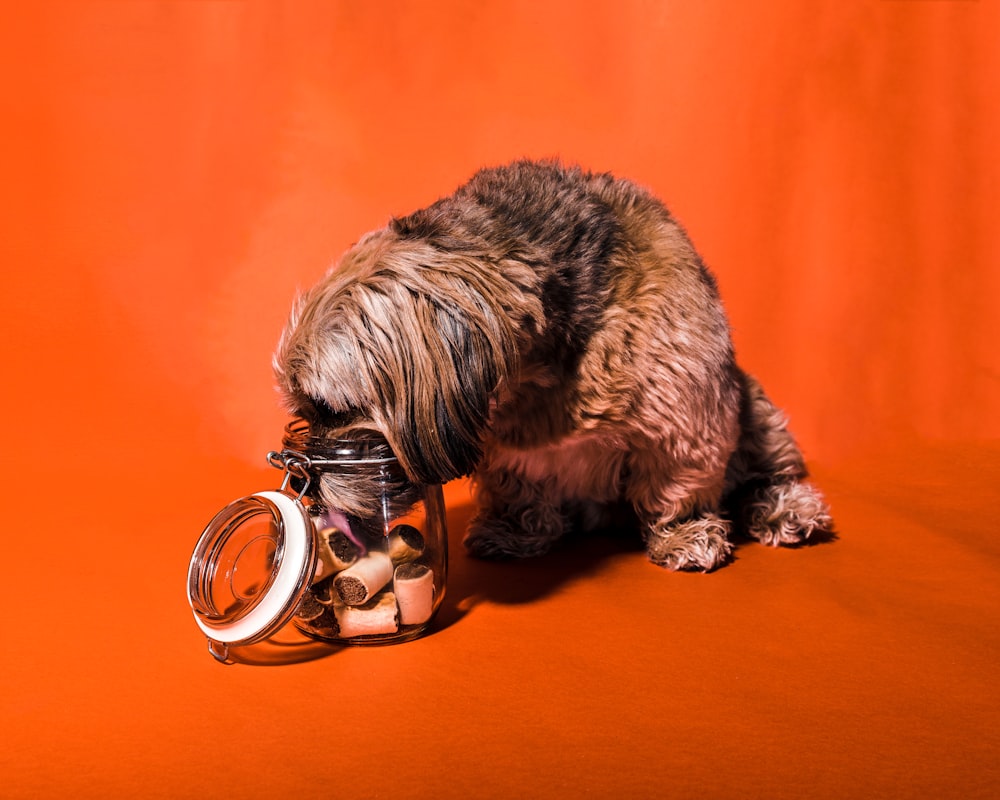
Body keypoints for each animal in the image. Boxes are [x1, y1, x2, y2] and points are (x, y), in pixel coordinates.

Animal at [274, 159, 836, 568]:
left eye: (332, 408)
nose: (306, 481)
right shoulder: (508, 447)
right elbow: (520, 486)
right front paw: (516, 530)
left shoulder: (683, 420)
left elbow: (677, 484)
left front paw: (684, 534)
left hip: (754, 405)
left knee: (767, 471)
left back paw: (785, 508)